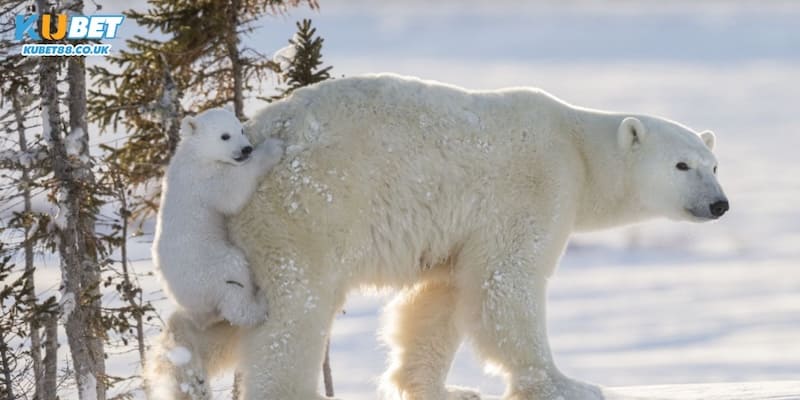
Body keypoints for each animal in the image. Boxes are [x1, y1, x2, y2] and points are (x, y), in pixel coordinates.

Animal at [152, 108, 286, 330]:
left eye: (241, 129)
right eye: (225, 136)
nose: (247, 149)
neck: (195, 154)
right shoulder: (205, 180)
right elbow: (233, 191)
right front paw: (273, 147)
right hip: (210, 266)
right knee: (234, 278)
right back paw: (259, 303)